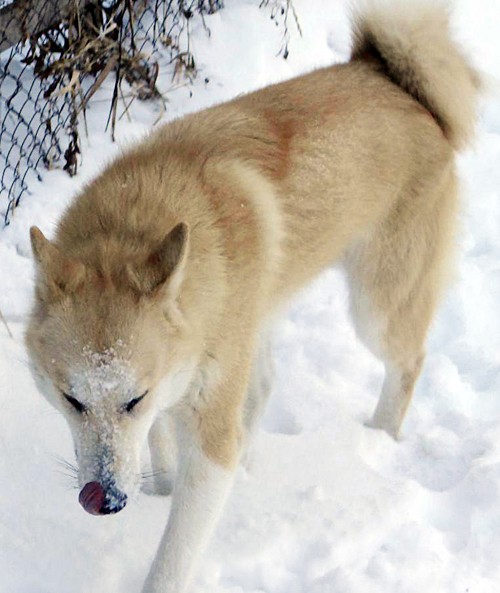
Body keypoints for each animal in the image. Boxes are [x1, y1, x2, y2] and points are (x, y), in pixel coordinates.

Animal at [25, 2, 479, 592]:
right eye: (72, 399)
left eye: (133, 399)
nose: (107, 502)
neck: (137, 222)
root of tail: (399, 85)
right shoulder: (181, 379)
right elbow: (163, 446)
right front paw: (160, 490)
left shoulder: (204, 426)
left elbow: (173, 558)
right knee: (264, 386)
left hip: (375, 310)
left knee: (408, 364)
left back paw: (377, 439)